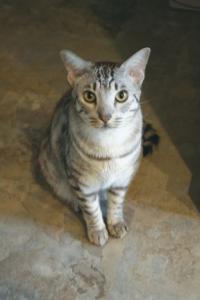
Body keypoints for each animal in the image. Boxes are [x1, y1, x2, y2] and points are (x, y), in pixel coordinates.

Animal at [38, 48, 159, 246]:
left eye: (122, 96)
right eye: (89, 96)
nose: (105, 116)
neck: (109, 146)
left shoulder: (122, 179)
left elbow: (116, 204)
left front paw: (115, 223)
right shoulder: (82, 182)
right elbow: (91, 209)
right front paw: (97, 230)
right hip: (50, 165)